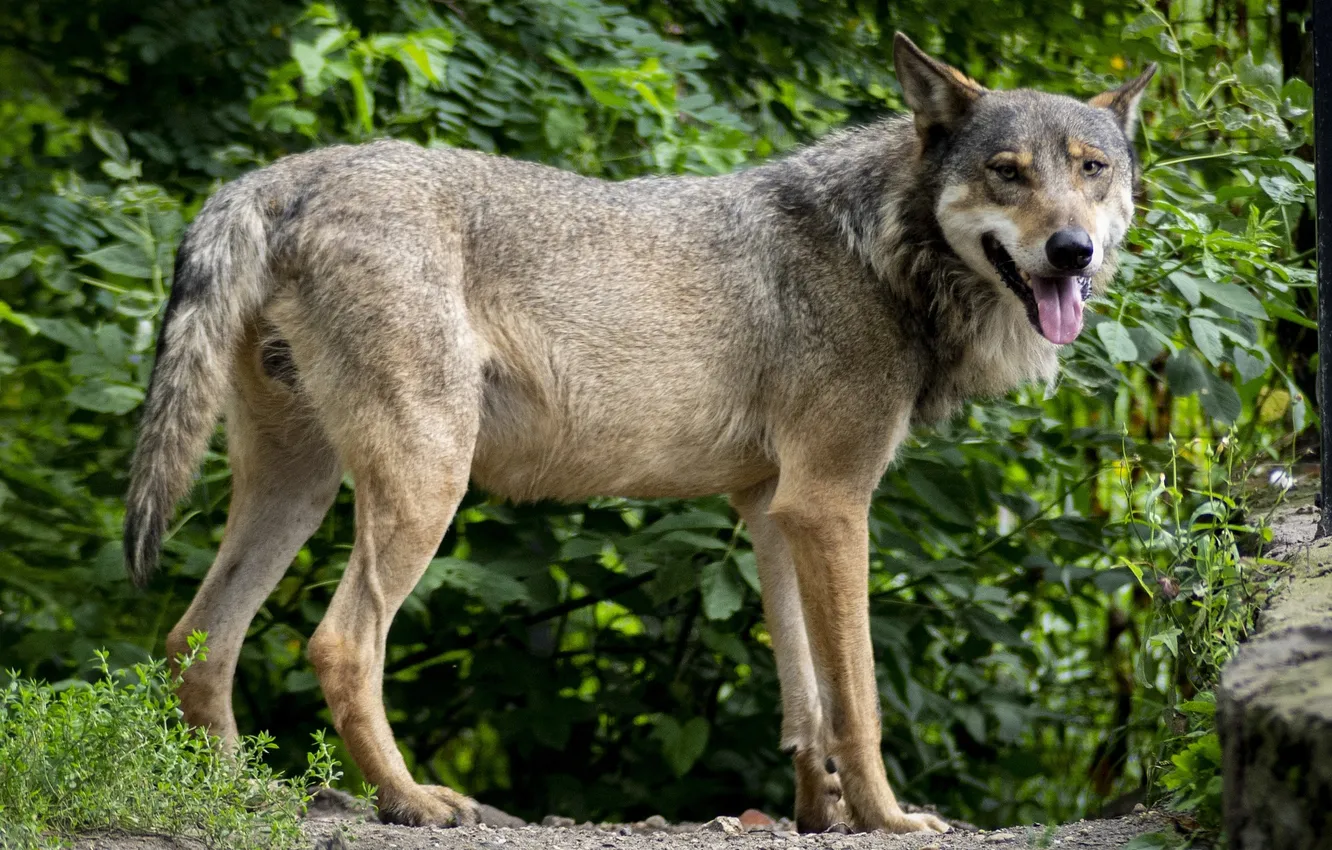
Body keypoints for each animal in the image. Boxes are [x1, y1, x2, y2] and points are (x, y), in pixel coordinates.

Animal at [122, 34, 1154, 834]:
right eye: (1007, 173)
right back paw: (413, 802)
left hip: (301, 489)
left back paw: (237, 797)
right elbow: (856, 700)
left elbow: (805, 698)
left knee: (195, 640)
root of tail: (285, 171)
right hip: (423, 487)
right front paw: (888, 819)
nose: (1072, 252)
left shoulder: (773, 510)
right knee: (339, 645)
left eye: (1090, 169)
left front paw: (817, 813)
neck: (883, 247)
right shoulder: (832, 505)